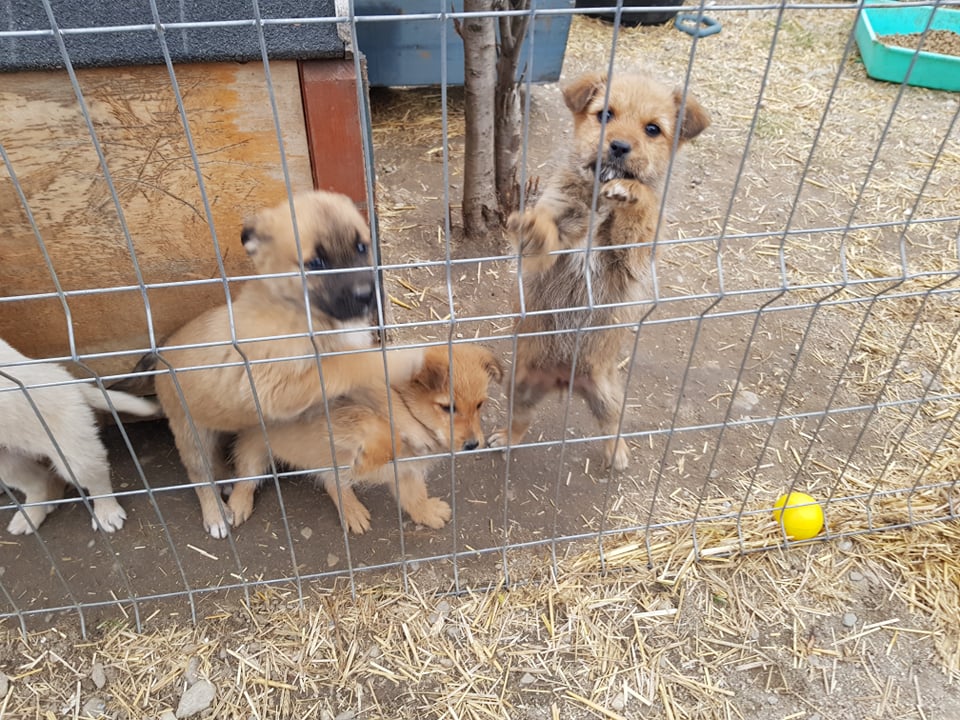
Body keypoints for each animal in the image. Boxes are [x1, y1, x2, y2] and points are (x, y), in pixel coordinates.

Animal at [0, 338, 157, 536]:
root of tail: (64, 376)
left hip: (72, 450)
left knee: (96, 481)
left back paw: (107, 512)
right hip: (7, 461)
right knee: (38, 481)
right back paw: (31, 515)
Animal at [156, 191, 422, 540]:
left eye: (362, 247)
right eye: (316, 264)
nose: (368, 295)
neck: (306, 313)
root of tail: (160, 352)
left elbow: (382, 394)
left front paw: (412, 425)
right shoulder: (280, 388)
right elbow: (347, 364)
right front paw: (401, 357)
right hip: (190, 431)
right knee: (204, 475)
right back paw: (220, 512)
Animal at [231, 344, 502, 536]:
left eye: (480, 404)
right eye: (447, 407)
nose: (473, 444)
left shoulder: (407, 471)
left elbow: (414, 496)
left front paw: (427, 513)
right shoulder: (335, 418)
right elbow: (375, 424)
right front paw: (371, 456)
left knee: (332, 481)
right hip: (254, 451)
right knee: (247, 477)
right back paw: (237, 505)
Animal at [492, 70, 708, 470]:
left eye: (653, 129)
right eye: (604, 114)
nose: (619, 146)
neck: (597, 199)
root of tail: (564, 379)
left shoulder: (628, 260)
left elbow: (638, 218)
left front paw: (632, 193)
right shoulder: (547, 247)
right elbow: (546, 235)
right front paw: (534, 226)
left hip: (608, 393)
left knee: (612, 423)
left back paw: (616, 453)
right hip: (520, 385)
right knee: (521, 420)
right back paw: (507, 437)